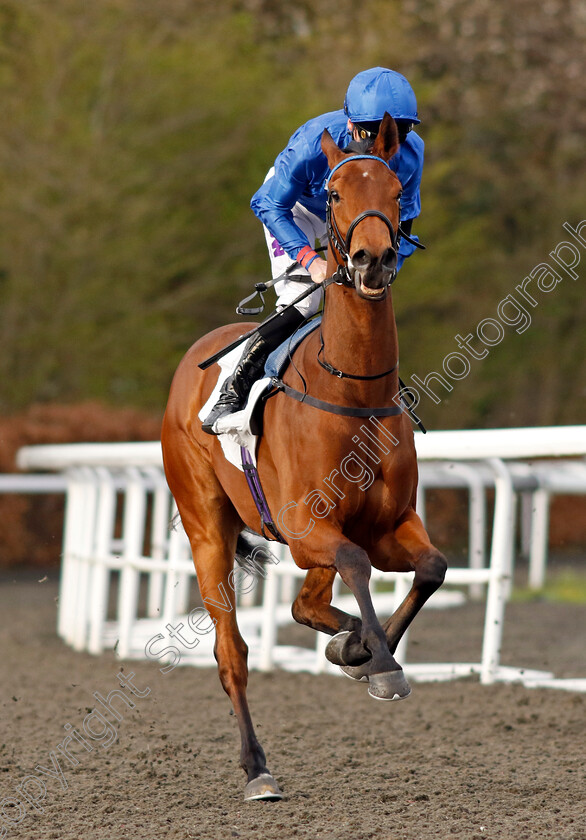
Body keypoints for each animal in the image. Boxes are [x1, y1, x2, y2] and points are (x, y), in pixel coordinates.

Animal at [157, 111, 444, 800]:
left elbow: (431, 568)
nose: (372, 259)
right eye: (335, 193)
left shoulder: (389, 525)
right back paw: (258, 768)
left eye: (397, 191)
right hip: (207, 527)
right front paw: (379, 662)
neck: (353, 392)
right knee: (232, 652)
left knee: (305, 604)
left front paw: (361, 652)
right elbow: (357, 565)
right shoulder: (307, 525)